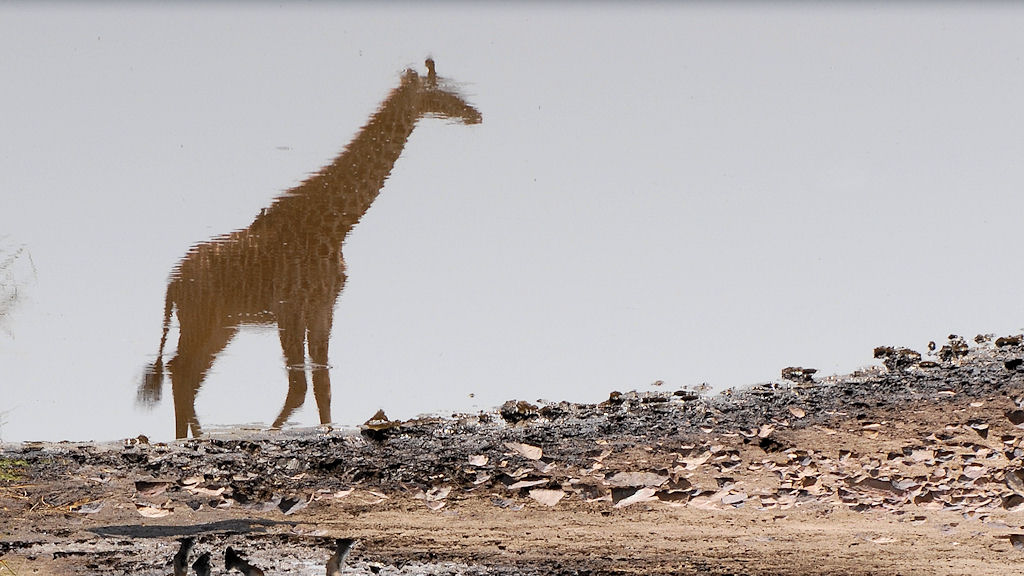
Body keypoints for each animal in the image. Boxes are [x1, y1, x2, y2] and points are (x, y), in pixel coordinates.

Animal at [138, 59, 482, 438]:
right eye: (440, 92)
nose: (474, 114)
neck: (338, 225)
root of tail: (172, 285)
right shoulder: (289, 307)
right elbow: (299, 385)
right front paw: (272, 433)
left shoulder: (323, 306)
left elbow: (322, 382)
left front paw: (326, 430)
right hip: (201, 320)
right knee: (181, 371)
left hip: (221, 324)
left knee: (184, 373)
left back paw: (194, 438)